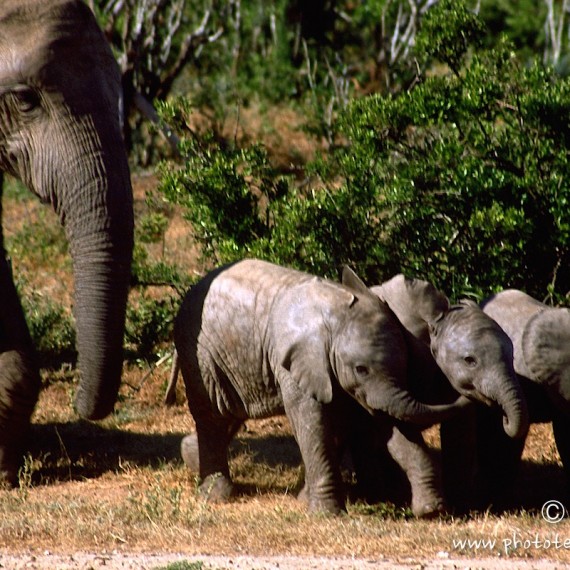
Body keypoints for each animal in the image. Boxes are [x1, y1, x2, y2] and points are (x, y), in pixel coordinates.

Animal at [170, 258, 466, 510]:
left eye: (405, 366)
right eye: (360, 369)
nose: (464, 392)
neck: (335, 315)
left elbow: (384, 422)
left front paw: (430, 510)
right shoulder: (297, 360)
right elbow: (312, 419)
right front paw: (326, 512)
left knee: (231, 412)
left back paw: (191, 458)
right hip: (199, 353)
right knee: (213, 414)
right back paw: (215, 494)